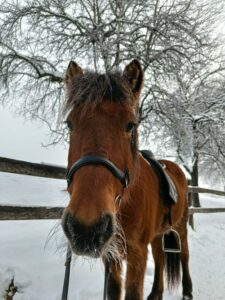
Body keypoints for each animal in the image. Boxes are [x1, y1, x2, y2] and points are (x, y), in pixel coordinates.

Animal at [61, 59, 193, 300]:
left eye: (130, 125)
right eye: (70, 124)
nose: (86, 228)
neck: (126, 202)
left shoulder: (137, 255)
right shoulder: (111, 256)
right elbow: (114, 291)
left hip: (180, 227)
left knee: (185, 255)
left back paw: (188, 291)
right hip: (157, 234)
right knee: (160, 257)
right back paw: (156, 293)